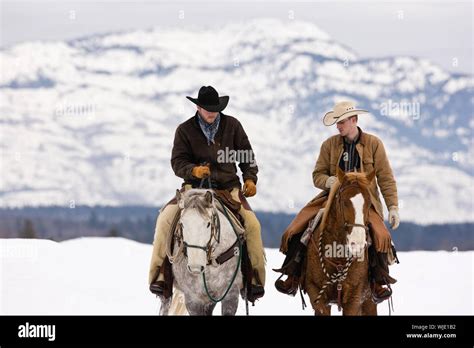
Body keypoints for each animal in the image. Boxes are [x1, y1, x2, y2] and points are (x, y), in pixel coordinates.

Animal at [308, 167, 378, 316]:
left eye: (369, 204)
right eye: (344, 202)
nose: (357, 244)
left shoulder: (354, 298)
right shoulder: (317, 296)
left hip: (369, 300)